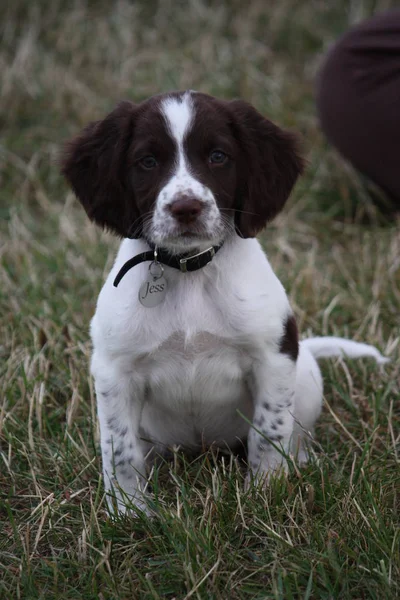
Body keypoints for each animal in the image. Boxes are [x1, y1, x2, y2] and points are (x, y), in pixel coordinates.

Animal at [61, 91, 390, 512]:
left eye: (218, 156)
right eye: (147, 161)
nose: (186, 208)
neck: (190, 272)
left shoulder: (273, 358)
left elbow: (268, 432)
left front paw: (264, 495)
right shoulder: (114, 370)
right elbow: (119, 450)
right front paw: (129, 512)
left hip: (305, 377)